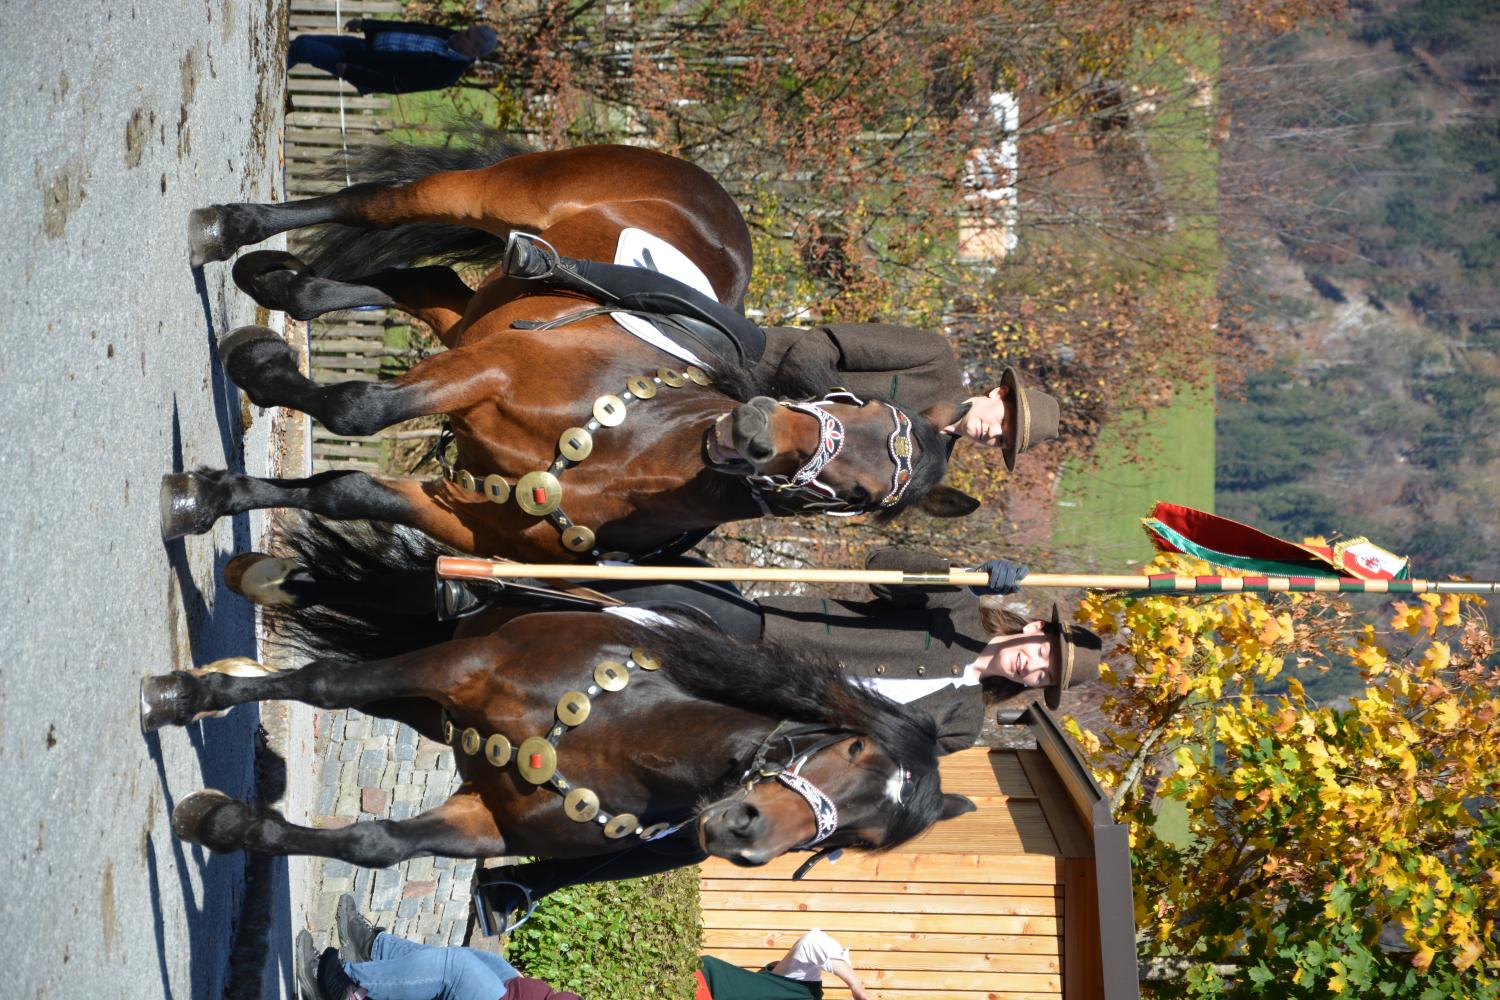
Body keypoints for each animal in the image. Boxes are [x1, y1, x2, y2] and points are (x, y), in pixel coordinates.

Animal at [140, 579, 977, 869]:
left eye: (860, 840)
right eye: (853, 743)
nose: (748, 835)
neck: (627, 737)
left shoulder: (487, 822)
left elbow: (373, 846)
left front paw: (219, 824)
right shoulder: (455, 667)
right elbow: (323, 684)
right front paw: (178, 698)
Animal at [163, 134, 977, 564]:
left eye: (866, 498)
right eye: (850, 402)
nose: (751, 432)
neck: (635, 454)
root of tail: (706, 188)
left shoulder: (462, 516)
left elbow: (344, 489)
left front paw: (210, 498)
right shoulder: (488, 370)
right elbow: (358, 409)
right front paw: (258, 367)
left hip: (479, 311)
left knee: (422, 281)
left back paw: (276, 280)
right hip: (492, 198)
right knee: (371, 204)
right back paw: (229, 229)